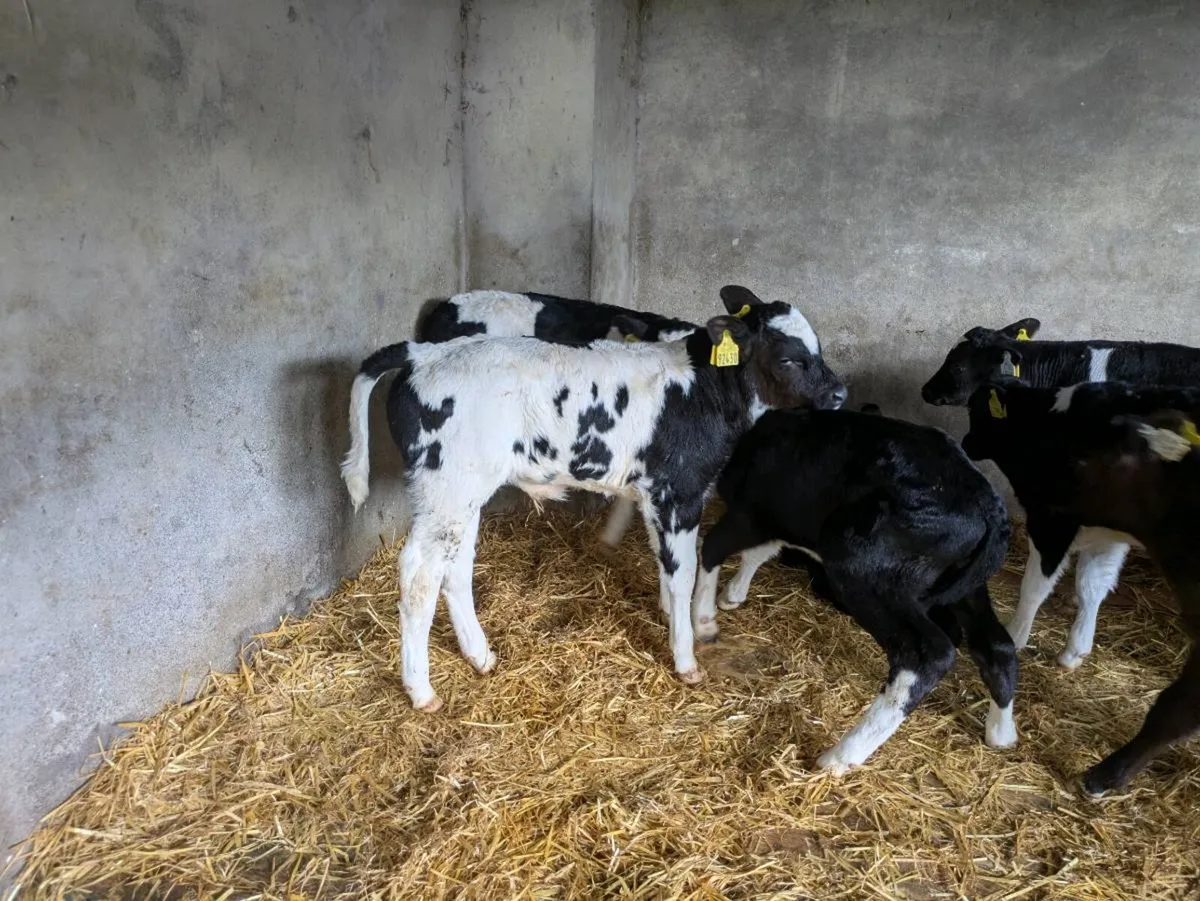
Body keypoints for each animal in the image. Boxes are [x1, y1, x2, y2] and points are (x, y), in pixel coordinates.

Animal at [341, 285, 847, 712]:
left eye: (818, 347)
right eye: (789, 357)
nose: (839, 393)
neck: (701, 388)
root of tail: (423, 352)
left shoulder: (654, 490)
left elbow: (665, 563)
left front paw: (672, 618)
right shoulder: (678, 491)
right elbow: (684, 572)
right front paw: (685, 657)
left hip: (460, 493)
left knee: (456, 567)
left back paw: (480, 655)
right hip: (446, 487)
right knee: (419, 575)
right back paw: (421, 690)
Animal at [690, 407, 1017, 774]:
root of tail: (987, 505)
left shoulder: (753, 513)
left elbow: (712, 548)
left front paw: (703, 619)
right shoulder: (785, 522)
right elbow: (759, 552)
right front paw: (733, 594)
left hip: (865, 570)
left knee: (926, 654)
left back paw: (842, 755)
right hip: (967, 589)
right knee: (997, 645)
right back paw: (1001, 732)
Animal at [922, 319, 1200, 670]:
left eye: (957, 365)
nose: (926, 390)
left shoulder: (1056, 518)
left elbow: (1038, 584)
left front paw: (1016, 636)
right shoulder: (1108, 526)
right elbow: (1093, 583)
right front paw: (1075, 648)